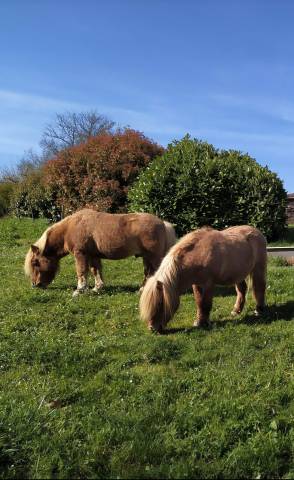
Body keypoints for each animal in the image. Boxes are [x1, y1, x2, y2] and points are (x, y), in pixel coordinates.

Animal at [24, 209, 175, 296]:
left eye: (35, 262)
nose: (35, 285)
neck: (70, 228)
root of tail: (162, 223)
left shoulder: (80, 254)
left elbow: (81, 271)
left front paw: (79, 290)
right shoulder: (93, 256)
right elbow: (95, 270)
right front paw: (97, 288)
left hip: (153, 257)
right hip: (146, 257)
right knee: (148, 273)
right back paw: (142, 290)